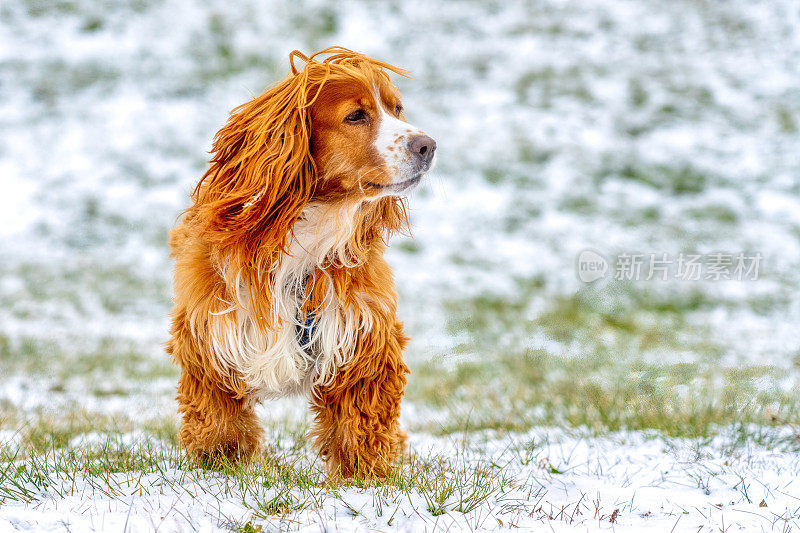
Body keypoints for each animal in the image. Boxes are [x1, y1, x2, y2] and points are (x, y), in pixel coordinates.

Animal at [166, 46, 434, 478]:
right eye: (356, 115)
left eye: (397, 109)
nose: (428, 145)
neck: (306, 232)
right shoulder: (210, 332)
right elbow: (218, 416)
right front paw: (220, 465)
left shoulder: (362, 333)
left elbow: (361, 421)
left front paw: (364, 476)